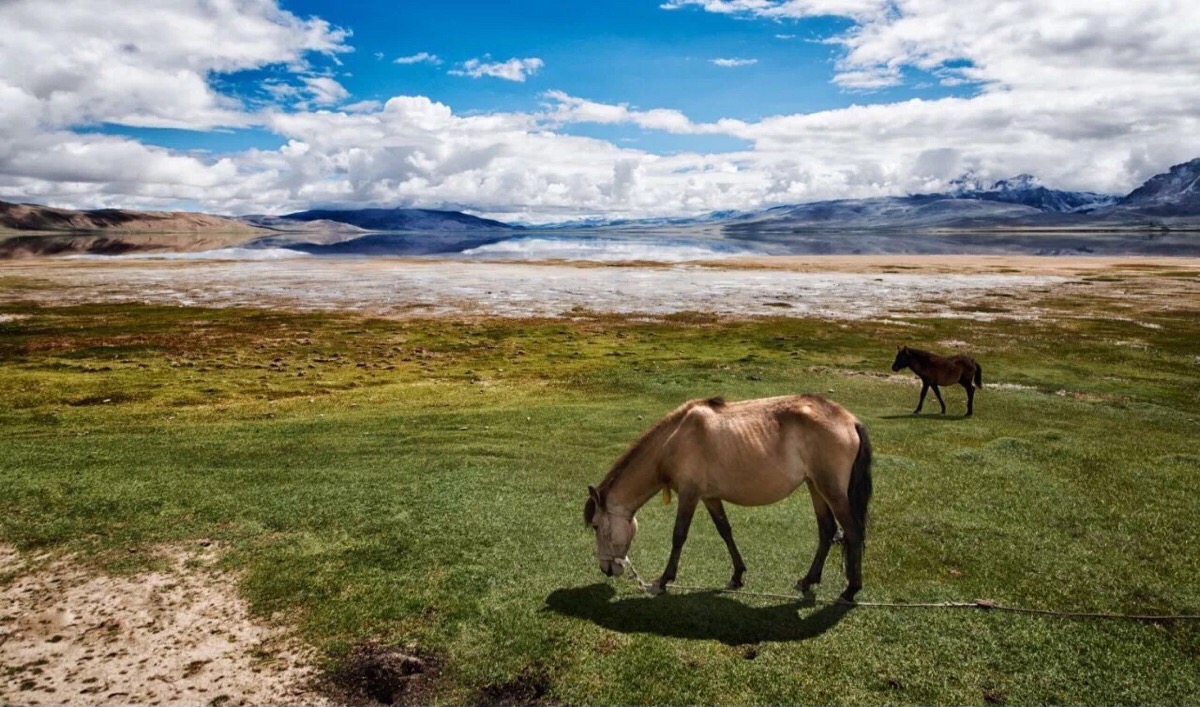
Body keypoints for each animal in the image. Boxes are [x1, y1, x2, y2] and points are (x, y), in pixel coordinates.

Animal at [583, 393, 873, 597]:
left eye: (596, 526)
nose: (606, 569)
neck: (674, 439)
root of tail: (850, 420)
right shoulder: (709, 497)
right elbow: (725, 531)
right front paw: (737, 575)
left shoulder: (689, 494)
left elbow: (679, 536)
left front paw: (663, 581)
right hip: (815, 487)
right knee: (827, 531)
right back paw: (808, 580)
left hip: (832, 490)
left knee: (852, 531)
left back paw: (851, 590)